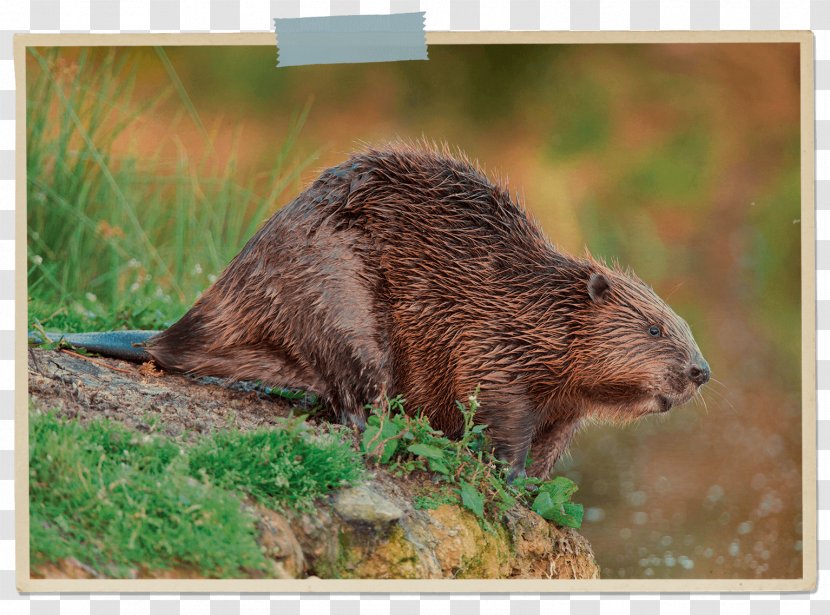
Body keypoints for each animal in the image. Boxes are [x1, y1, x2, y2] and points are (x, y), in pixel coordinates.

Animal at [34, 146, 708, 482]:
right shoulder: (494, 346)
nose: (701, 372)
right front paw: (512, 481)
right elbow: (501, 418)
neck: (533, 305)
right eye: (654, 328)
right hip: (338, 299)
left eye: (682, 327)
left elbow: (549, 445)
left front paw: (539, 489)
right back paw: (390, 433)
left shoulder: (564, 402)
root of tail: (165, 340)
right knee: (354, 394)